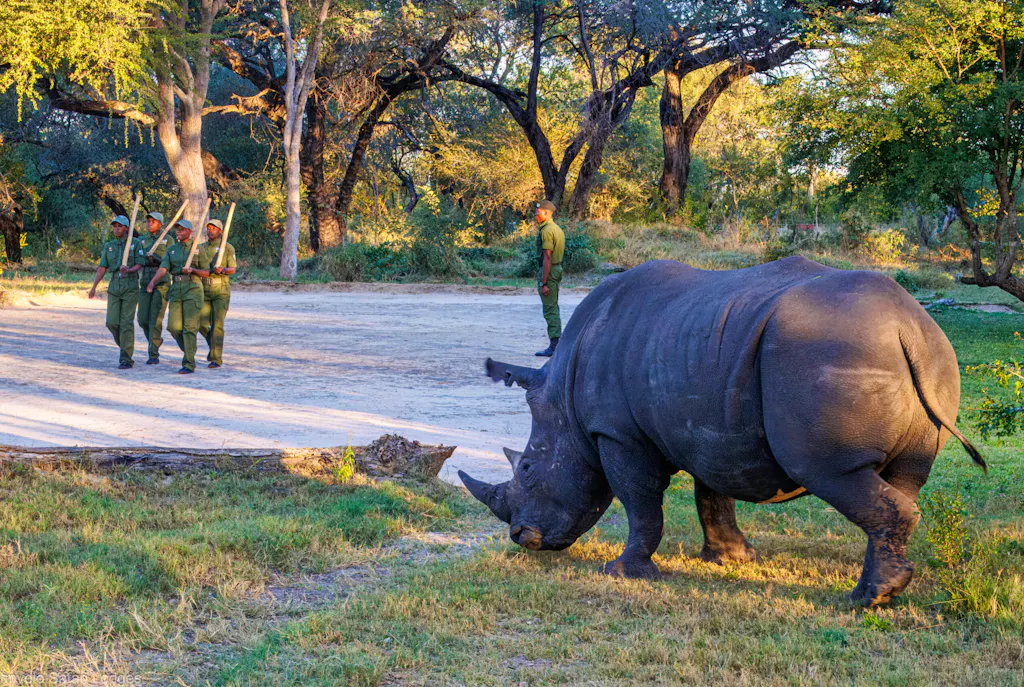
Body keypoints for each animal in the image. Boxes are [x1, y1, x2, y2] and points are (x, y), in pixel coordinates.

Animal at [460, 257, 985, 606]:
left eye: (528, 468)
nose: (521, 537)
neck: (564, 399)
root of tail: (907, 324)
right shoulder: (709, 427)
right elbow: (712, 495)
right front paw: (731, 560)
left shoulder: (617, 433)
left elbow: (640, 502)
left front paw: (624, 573)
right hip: (928, 354)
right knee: (905, 478)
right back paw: (878, 592)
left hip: (828, 355)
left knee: (830, 472)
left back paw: (867, 599)